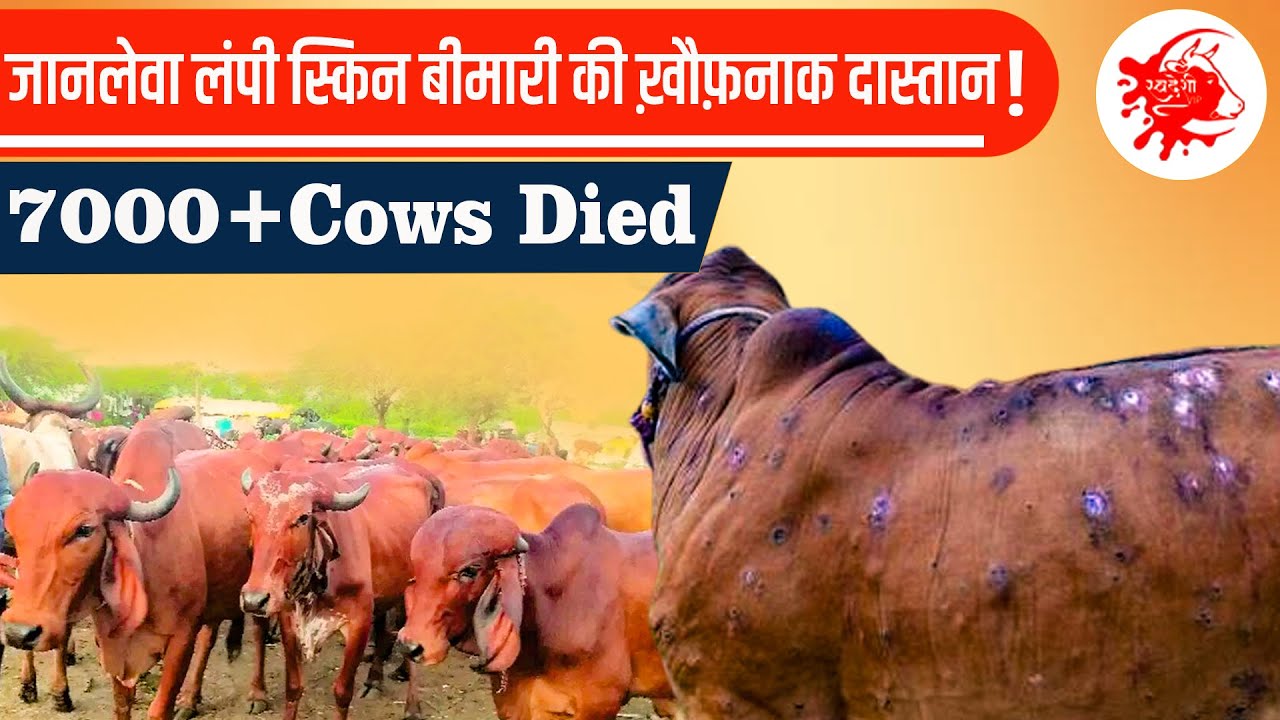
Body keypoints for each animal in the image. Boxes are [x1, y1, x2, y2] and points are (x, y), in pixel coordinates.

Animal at [239, 461, 443, 720]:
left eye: (303, 518)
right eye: (250, 515)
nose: (254, 600)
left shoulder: (358, 623)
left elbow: (343, 691)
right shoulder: (288, 621)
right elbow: (293, 687)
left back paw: (412, 705)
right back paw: (374, 681)